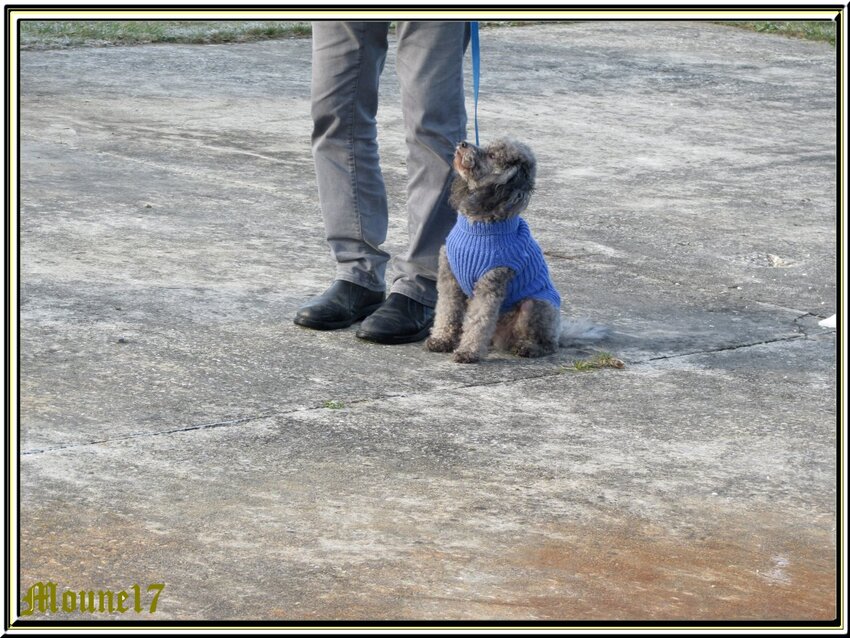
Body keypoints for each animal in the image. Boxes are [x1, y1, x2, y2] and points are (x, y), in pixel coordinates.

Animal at [424, 139, 604, 364]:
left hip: (535, 305)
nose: (464, 143)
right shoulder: (449, 278)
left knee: (548, 344)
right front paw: (441, 340)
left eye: (492, 156)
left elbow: (478, 321)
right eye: (486, 146)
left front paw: (468, 351)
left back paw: (528, 348)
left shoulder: (489, 285)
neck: (479, 225)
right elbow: (446, 311)